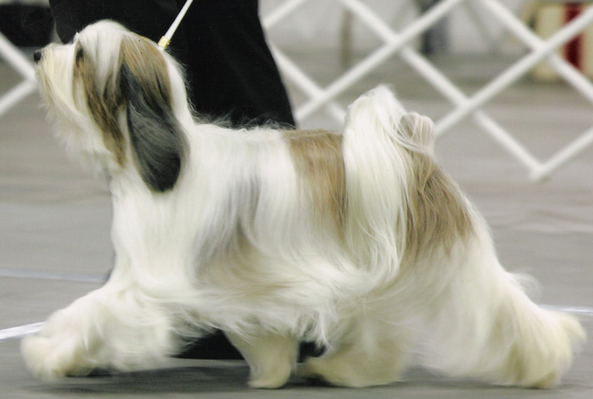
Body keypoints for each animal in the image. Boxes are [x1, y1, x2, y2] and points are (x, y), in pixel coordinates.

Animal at [22, 20, 584, 390]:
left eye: (80, 56)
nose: (37, 56)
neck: (159, 156)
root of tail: (412, 156)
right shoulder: (253, 285)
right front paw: (271, 371)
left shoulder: (149, 282)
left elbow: (92, 312)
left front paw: (51, 351)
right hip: (373, 274)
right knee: (381, 337)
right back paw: (341, 370)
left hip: (454, 261)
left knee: (503, 310)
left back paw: (542, 363)